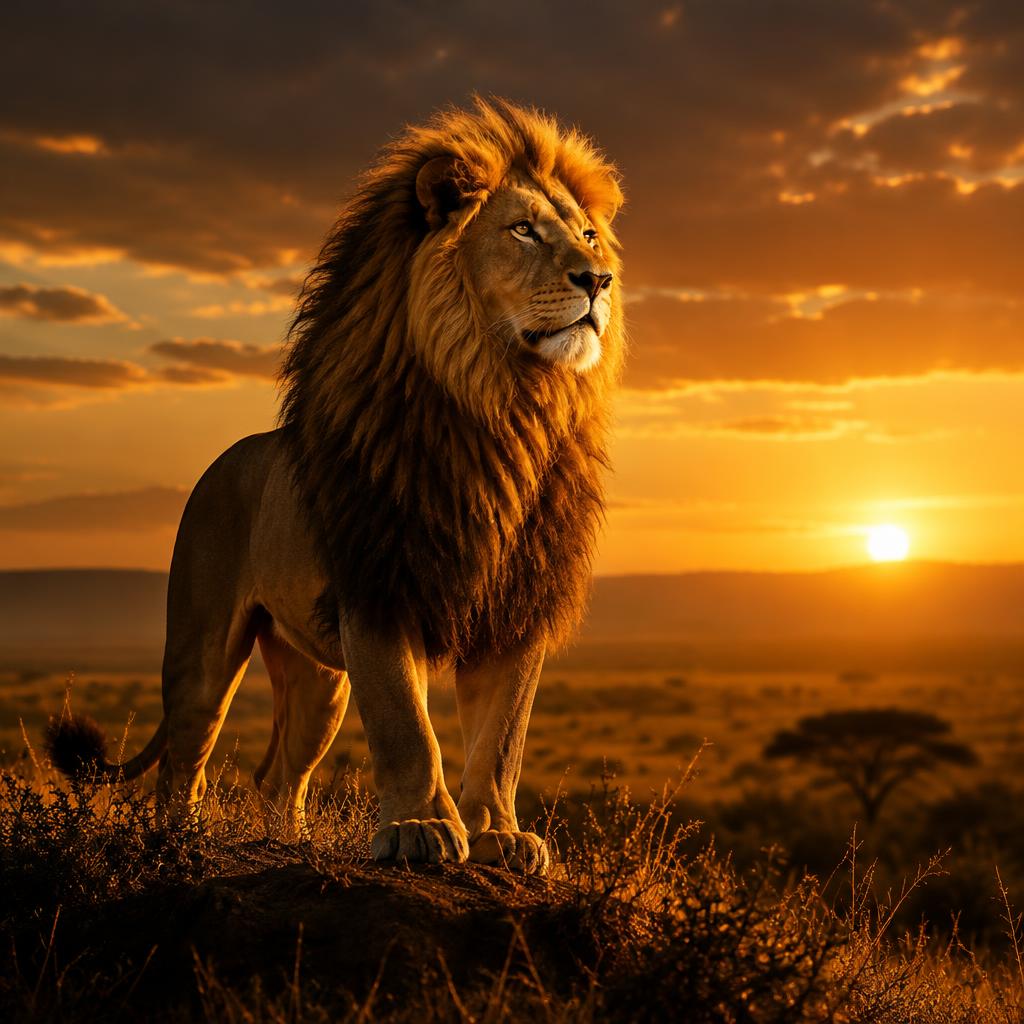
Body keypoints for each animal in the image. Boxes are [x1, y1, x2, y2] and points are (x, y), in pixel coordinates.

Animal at [45, 97, 625, 874]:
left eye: (588, 234)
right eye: (523, 229)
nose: (598, 280)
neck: (503, 404)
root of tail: (227, 459)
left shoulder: (517, 603)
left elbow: (501, 740)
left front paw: (499, 835)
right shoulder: (378, 586)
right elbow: (408, 727)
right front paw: (421, 829)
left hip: (319, 680)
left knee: (277, 773)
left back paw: (284, 844)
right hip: (203, 649)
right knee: (184, 761)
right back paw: (180, 840)